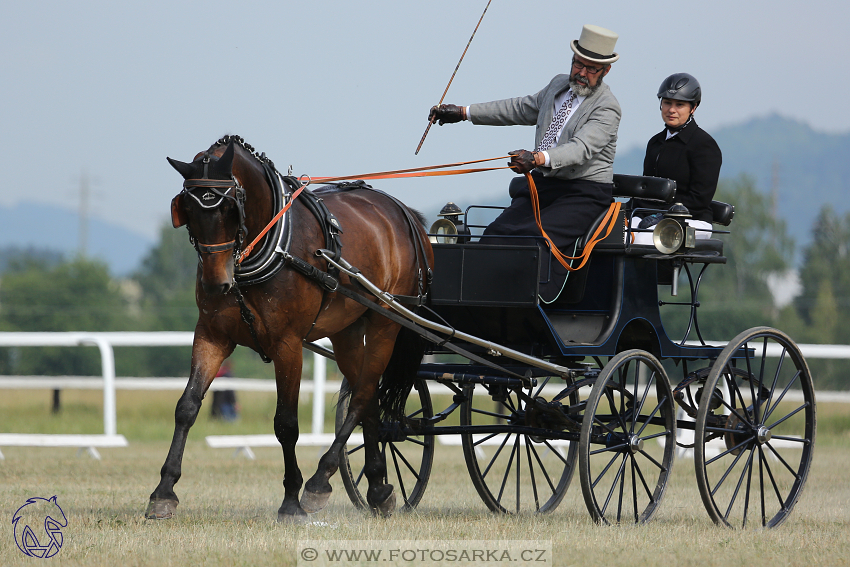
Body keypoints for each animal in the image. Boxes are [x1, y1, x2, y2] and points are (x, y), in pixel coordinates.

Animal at [144, 135, 430, 520]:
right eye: (187, 211)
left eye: (230, 209)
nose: (217, 284)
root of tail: (404, 213)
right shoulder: (212, 335)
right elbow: (186, 407)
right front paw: (164, 491)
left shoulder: (288, 345)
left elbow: (286, 424)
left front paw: (292, 499)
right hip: (346, 330)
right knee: (366, 396)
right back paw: (378, 487)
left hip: (386, 322)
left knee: (363, 394)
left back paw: (320, 480)